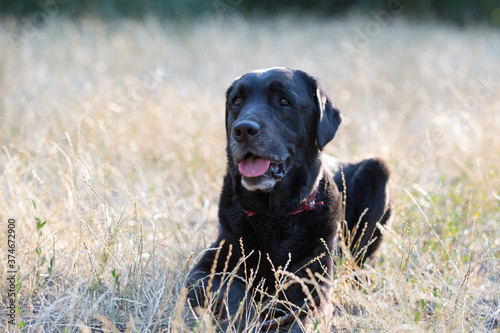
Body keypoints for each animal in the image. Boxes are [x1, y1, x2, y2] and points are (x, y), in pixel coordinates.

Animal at [187, 67, 390, 330]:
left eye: (284, 101)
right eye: (237, 101)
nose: (242, 130)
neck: (274, 216)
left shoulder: (314, 287)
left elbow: (306, 321)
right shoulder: (203, 272)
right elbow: (234, 292)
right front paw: (245, 321)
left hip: (377, 169)